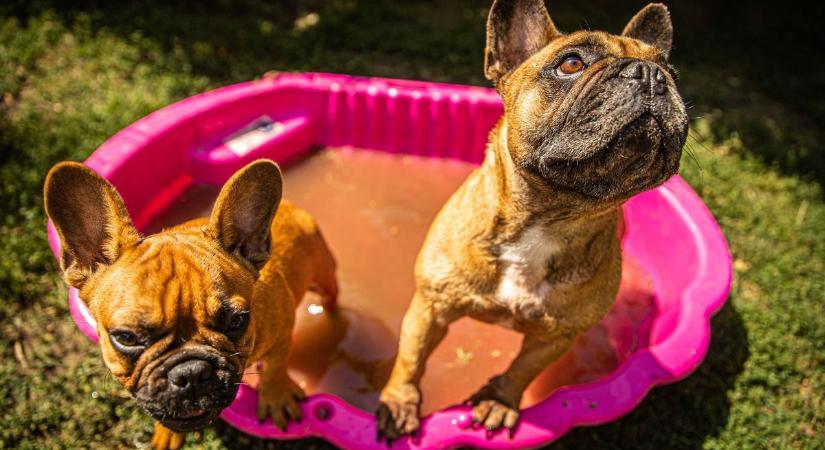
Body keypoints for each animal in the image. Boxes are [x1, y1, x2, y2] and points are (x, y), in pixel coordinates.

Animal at [42, 160, 334, 448]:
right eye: (126, 337)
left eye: (237, 321)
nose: (191, 372)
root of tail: (291, 207)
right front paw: (167, 433)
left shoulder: (282, 336)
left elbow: (275, 367)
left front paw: (275, 396)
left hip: (324, 274)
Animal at [376, 0, 684, 438]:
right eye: (571, 63)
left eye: (672, 73)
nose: (652, 75)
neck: (547, 218)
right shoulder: (430, 307)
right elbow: (411, 358)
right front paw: (399, 402)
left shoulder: (557, 336)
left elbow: (522, 369)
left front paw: (499, 400)